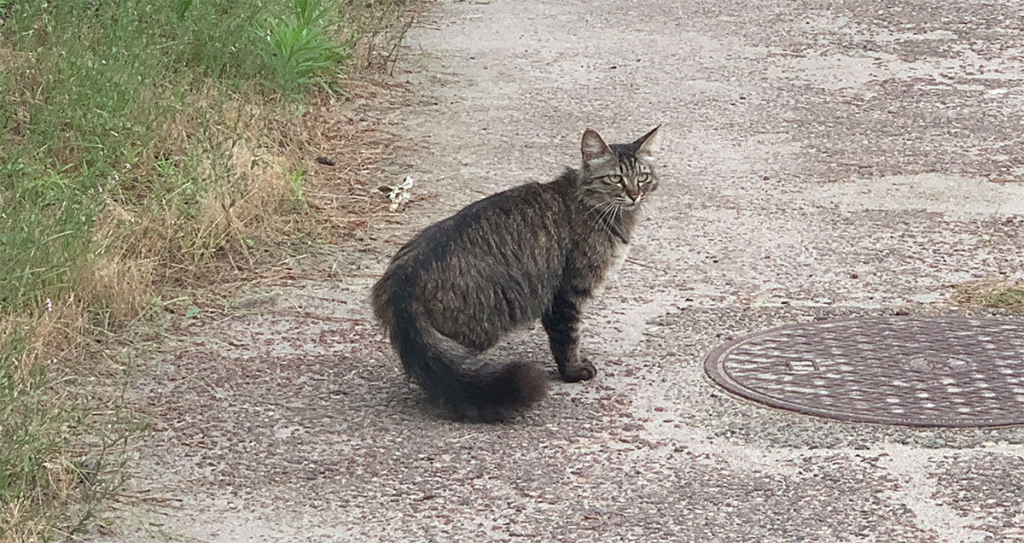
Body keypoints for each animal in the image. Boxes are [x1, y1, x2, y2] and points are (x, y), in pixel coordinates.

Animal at [372, 125, 659, 418]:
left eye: (643, 177)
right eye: (615, 179)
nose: (634, 194)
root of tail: (402, 280)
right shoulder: (567, 294)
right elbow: (567, 338)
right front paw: (573, 371)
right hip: (479, 327)